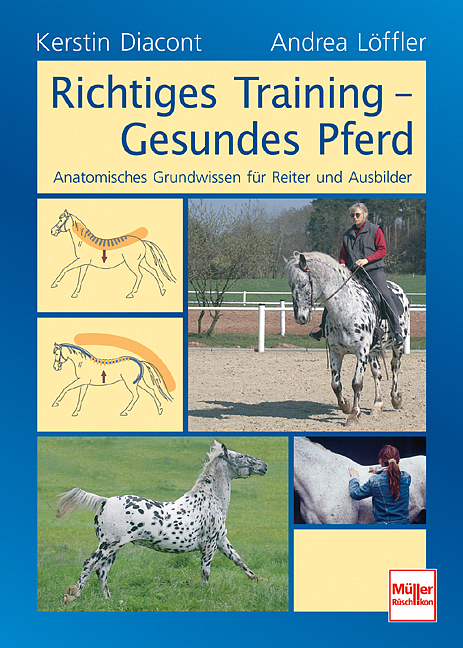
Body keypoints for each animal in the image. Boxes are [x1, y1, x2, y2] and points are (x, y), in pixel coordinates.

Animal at [55, 440, 268, 603]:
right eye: (241, 456)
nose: (264, 465)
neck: (210, 499)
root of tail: (105, 501)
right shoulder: (209, 545)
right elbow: (205, 572)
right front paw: (205, 594)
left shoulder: (222, 540)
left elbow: (239, 560)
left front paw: (260, 579)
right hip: (108, 545)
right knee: (90, 565)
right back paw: (72, 595)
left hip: (113, 548)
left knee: (102, 571)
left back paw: (110, 600)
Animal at [285, 251, 410, 427]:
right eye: (290, 285)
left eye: (303, 284)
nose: (300, 318)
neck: (346, 309)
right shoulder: (336, 351)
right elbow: (335, 384)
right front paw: (346, 406)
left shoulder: (361, 351)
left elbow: (357, 383)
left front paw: (354, 415)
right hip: (373, 352)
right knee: (377, 373)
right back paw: (377, 405)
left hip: (397, 346)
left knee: (395, 367)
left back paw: (396, 399)